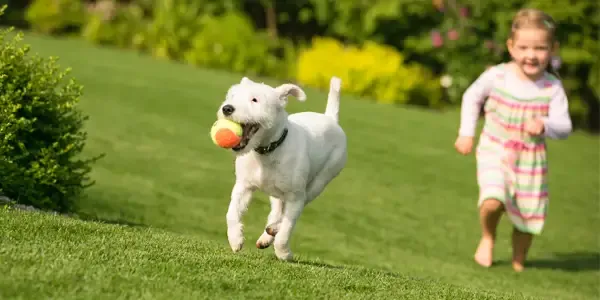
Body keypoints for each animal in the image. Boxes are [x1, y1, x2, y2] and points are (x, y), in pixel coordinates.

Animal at [217, 76, 346, 262]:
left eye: (255, 100)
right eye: (232, 96)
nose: (227, 108)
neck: (267, 150)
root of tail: (331, 119)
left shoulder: (295, 198)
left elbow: (286, 228)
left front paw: (283, 252)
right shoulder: (243, 186)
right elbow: (232, 213)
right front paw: (235, 239)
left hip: (321, 181)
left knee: (296, 207)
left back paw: (274, 231)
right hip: (277, 192)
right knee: (277, 210)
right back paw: (266, 236)